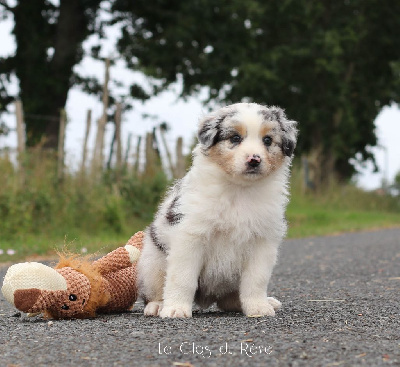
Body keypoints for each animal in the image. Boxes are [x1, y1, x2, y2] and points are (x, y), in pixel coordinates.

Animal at [138, 102, 296, 318]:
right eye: (235, 138)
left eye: (268, 140)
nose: (254, 160)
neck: (239, 190)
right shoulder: (190, 236)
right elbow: (183, 277)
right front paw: (176, 308)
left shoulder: (263, 241)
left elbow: (256, 279)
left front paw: (258, 307)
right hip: (152, 261)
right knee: (155, 288)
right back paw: (157, 305)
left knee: (230, 299)